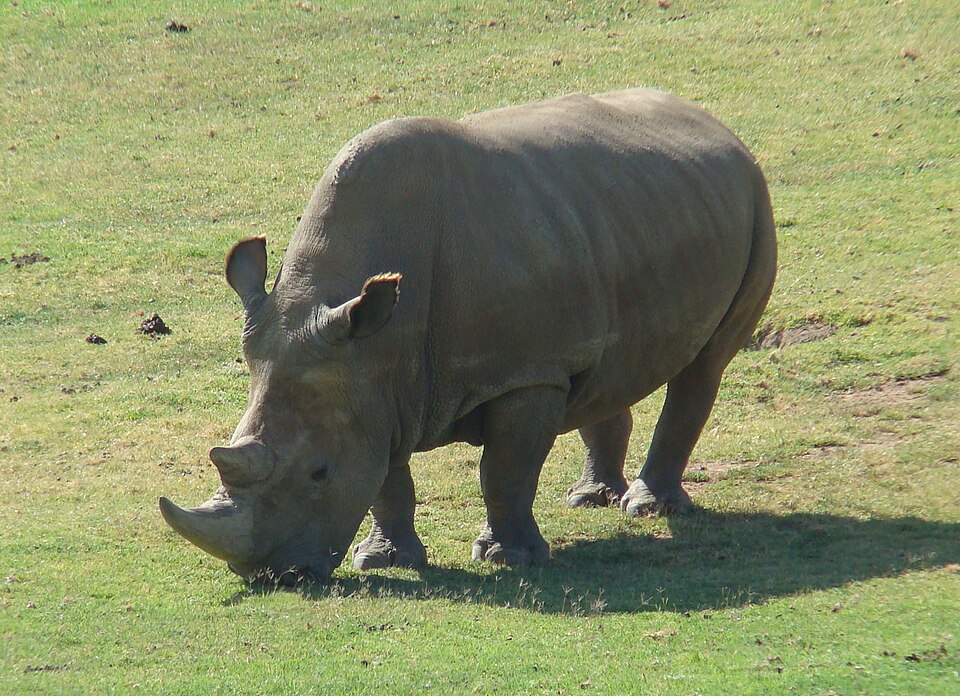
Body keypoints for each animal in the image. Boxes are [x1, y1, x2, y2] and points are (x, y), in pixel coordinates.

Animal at [160, 88, 776, 584]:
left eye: (319, 473)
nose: (272, 575)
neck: (378, 344)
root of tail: (717, 125)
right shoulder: (371, 382)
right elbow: (386, 478)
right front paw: (384, 561)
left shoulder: (524, 374)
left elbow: (504, 470)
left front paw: (509, 560)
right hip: (625, 215)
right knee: (603, 369)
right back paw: (590, 499)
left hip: (755, 200)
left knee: (704, 367)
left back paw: (650, 510)